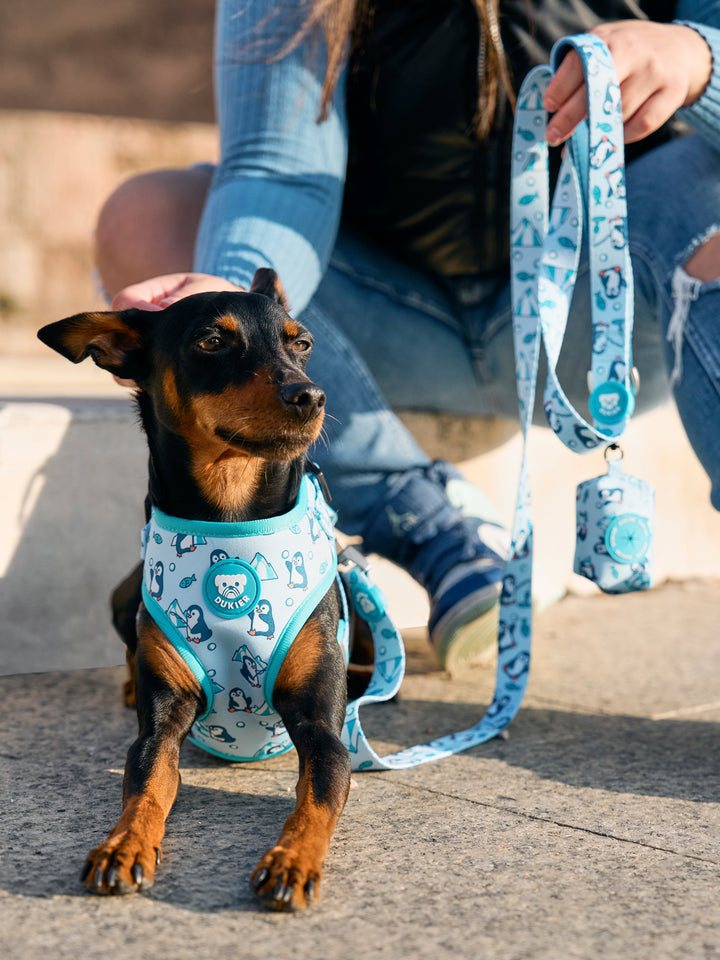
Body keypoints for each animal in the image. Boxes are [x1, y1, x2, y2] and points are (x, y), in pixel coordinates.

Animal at [38, 268, 372, 908]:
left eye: (302, 343)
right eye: (212, 342)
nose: (310, 396)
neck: (231, 515)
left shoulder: (324, 732)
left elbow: (314, 801)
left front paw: (291, 860)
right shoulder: (158, 731)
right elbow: (146, 787)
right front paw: (124, 845)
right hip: (124, 597)